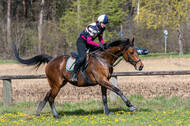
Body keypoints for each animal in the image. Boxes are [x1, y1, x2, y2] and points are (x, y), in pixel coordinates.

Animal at [13, 38, 143, 118]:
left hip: (59, 83)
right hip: (56, 85)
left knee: (47, 95)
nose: (141, 66)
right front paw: (131, 106)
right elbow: (118, 90)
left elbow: (104, 98)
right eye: (131, 52)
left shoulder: (103, 82)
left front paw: (106, 112)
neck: (103, 59)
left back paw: (38, 112)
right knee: (51, 99)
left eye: (137, 51)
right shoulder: (102, 80)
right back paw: (56, 115)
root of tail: (51, 60)